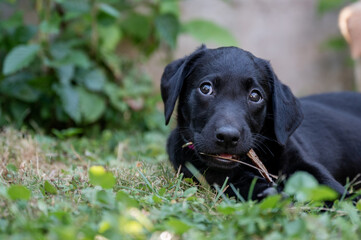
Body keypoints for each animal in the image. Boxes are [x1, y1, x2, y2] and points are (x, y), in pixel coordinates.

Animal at [160, 45, 360, 201]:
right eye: (206, 88)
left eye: (255, 96)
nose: (228, 137)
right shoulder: (204, 171)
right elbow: (232, 181)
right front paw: (268, 193)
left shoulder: (302, 163)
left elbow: (328, 187)